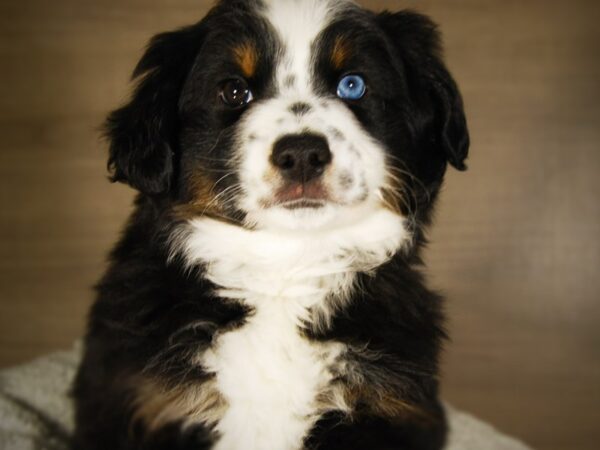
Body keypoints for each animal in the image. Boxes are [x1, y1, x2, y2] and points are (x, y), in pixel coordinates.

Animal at [74, 0, 468, 450]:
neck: (285, 272)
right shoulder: (147, 401)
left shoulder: (391, 406)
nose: (302, 154)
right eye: (233, 91)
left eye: (352, 85)